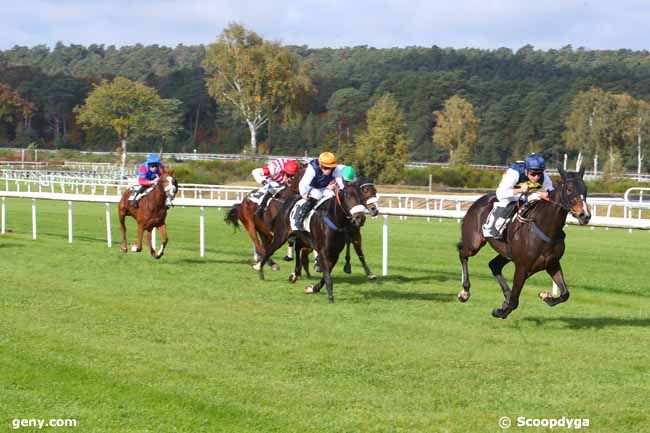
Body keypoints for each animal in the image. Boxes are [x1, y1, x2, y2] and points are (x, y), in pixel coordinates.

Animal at [456, 167, 588, 318]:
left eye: (585, 189)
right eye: (570, 189)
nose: (585, 215)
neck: (545, 228)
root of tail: (478, 201)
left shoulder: (552, 263)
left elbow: (565, 293)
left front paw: (546, 296)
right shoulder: (522, 267)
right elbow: (514, 301)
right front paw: (500, 311)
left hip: (506, 253)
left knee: (494, 265)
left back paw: (505, 295)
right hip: (474, 244)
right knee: (462, 252)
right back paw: (465, 291)